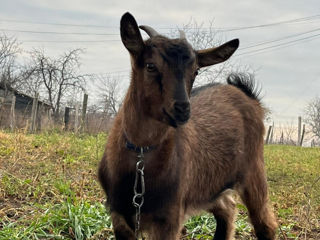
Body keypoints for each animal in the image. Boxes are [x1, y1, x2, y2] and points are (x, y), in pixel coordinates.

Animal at [99, 12, 278, 239]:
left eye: (196, 72)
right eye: (150, 66)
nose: (183, 109)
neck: (140, 159)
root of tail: (246, 94)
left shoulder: (169, 218)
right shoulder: (119, 215)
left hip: (254, 171)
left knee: (265, 223)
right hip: (211, 186)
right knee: (227, 209)